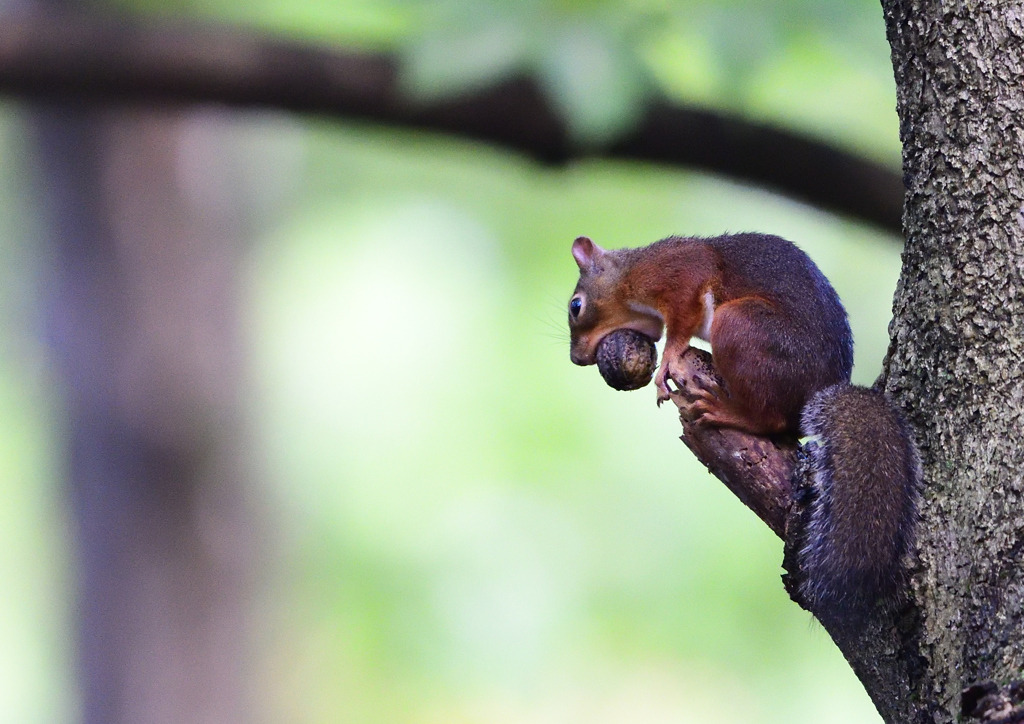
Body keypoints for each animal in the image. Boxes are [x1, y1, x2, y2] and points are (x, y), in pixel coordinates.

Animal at [569, 235, 921, 626]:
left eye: (575, 306)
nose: (576, 359)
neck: (629, 272)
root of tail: (818, 391)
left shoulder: (678, 274)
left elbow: (680, 325)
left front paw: (666, 365)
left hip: (739, 325)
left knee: (769, 420)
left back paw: (725, 410)